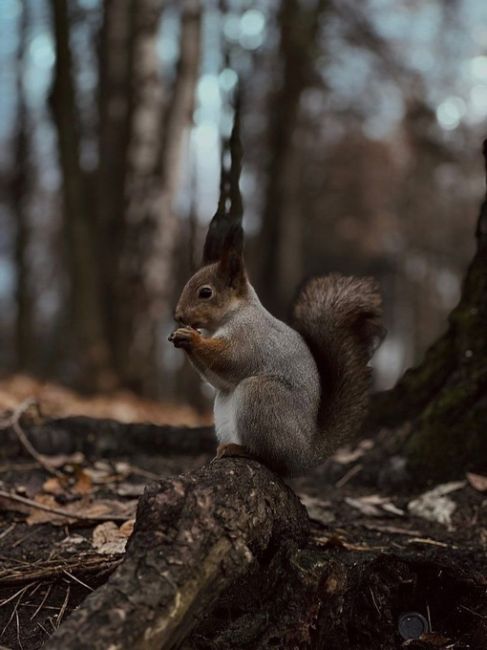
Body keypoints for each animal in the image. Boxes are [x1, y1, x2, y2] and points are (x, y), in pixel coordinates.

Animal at [169, 246, 386, 474]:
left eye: (205, 292)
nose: (178, 316)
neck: (234, 313)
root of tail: (303, 455)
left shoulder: (249, 335)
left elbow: (230, 359)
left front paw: (191, 338)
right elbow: (219, 378)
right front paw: (180, 335)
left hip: (262, 395)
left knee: (273, 460)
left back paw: (240, 450)